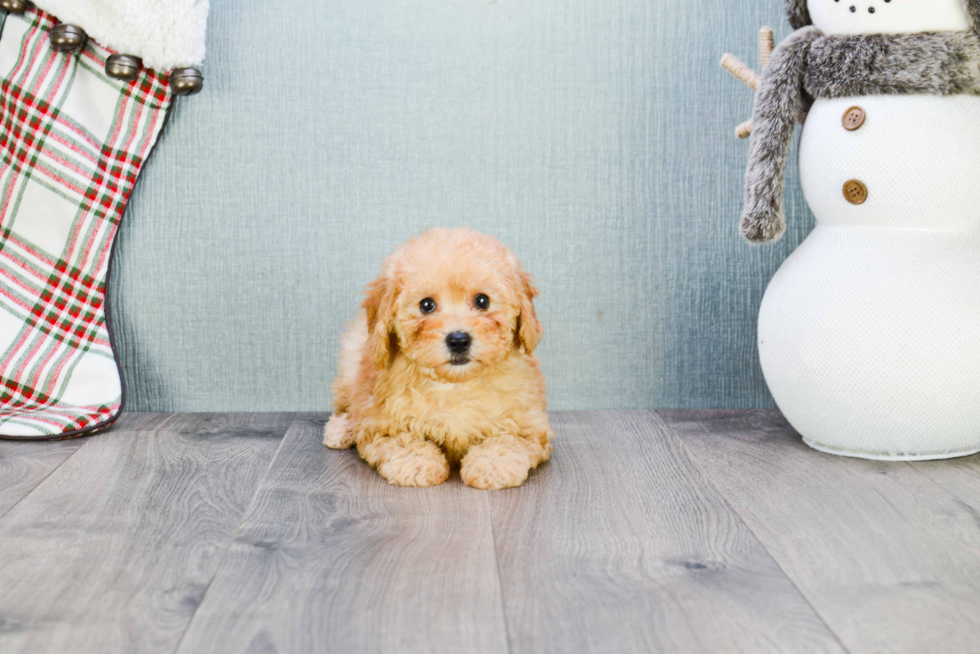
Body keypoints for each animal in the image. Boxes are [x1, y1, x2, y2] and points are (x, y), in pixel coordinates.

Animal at [322, 228, 552, 490]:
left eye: (482, 300)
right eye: (426, 305)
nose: (459, 340)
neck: (455, 385)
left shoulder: (530, 425)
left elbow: (508, 440)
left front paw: (492, 466)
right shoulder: (382, 424)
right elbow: (403, 441)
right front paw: (417, 464)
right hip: (351, 359)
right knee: (345, 405)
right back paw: (341, 429)